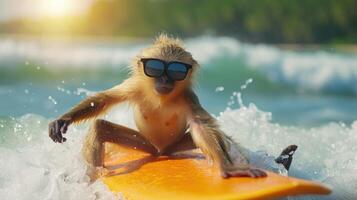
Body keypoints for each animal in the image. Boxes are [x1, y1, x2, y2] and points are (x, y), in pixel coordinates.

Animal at [49, 33, 268, 179]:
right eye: (155, 68)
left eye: (176, 71)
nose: (164, 79)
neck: (162, 97)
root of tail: (160, 152)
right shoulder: (135, 86)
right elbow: (104, 99)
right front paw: (65, 119)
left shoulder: (189, 97)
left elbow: (200, 126)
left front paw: (227, 168)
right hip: (145, 144)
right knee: (100, 127)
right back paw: (94, 174)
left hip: (172, 147)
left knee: (222, 138)